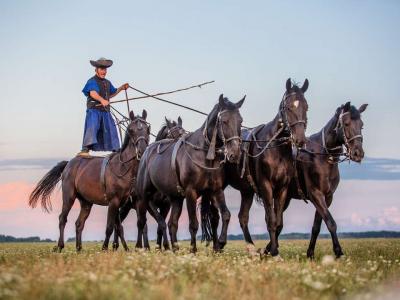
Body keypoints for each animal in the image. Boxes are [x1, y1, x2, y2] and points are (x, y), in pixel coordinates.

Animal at [136, 95, 245, 252]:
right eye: (224, 121)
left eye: (240, 121)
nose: (234, 154)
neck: (204, 153)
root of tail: (146, 153)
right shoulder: (190, 192)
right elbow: (193, 224)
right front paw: (193, 250)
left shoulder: (215, 190)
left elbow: (225, 215)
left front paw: (221, 242)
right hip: (143, 196)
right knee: (142, 221)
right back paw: (141, 247)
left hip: (175, 199)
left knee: (172, 223)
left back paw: (174, 248)